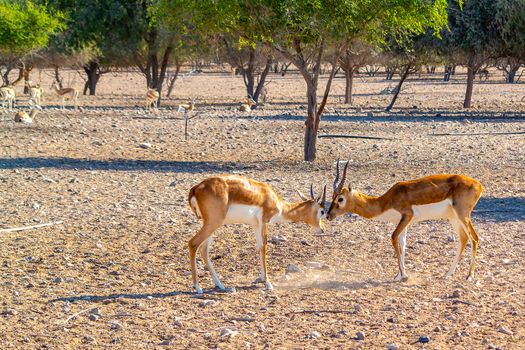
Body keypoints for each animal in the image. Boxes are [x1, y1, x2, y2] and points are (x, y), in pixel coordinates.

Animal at [188, 174, 326, 292]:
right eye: (322, 211)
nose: (322, 229)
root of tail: (196, 188)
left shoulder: (255, 225)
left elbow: (259, 247)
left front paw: (261, 278)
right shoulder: (264, 221)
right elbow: (264, 247)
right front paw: (268, 283)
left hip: (211, 225)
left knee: (204, 250)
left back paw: (220, 284)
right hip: (213, 223)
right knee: (193, 243)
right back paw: (197, 287)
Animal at [328, 161, 484, 282]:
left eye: (340, 199)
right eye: (332, 196)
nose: (328, 215)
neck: (387, 201)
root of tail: (478, 184)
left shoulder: (407, 216)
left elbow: (393, 238)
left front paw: (403, 275)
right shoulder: (403, 222)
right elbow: (403, 244)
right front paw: (399, 275)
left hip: (463, 215)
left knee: (474, 238)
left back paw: (469, 276)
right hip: (453, 217)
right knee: (464, 239)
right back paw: (448, 274)